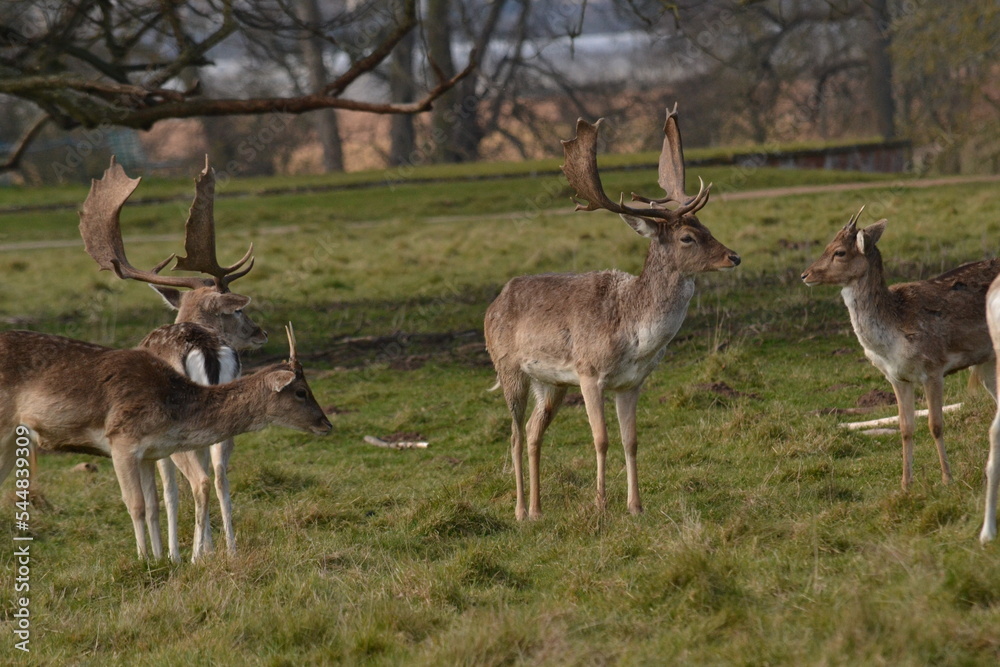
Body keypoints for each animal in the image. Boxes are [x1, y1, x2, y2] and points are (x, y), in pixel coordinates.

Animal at [0, 324, 334, 560]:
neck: (172, 406)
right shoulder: (121, 440)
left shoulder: (149, 453)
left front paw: (162, 558)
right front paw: (144, 559)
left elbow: (153, 505)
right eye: (301, 391)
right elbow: (134, 504)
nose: (327, 424)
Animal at [80, 157, 266, 564]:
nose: (260, 332)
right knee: (220, 473)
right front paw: (209, 547)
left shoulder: (154, 440)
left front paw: (172, 554)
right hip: (223, 418)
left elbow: (164, 495)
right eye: (237, 312)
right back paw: (229, 548)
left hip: (177, 423)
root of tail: (206, 348)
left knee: (199, 481)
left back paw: (193, 557)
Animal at [484, 105, 744, 520]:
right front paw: (601, 505)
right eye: (687, 237)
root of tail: (493, 304)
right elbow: (601, 439)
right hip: (508, 368)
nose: (733, 257)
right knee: (513, 434)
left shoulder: (632, 382)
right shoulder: (589, 373)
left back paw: (539, 510)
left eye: (706, 225)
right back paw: (521, 511)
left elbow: (631, 440)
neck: (634, 337)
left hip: (551, 382)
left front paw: (636, 506)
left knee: (534, 432)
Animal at [804, 209, 1000, 490]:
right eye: (827, 245)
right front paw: (906, 483)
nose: (805, 275)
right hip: (986, 361)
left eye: (839, 251)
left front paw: (947, 478)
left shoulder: (933, 367)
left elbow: (935, 424)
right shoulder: (896, 377)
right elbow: (905, 427)